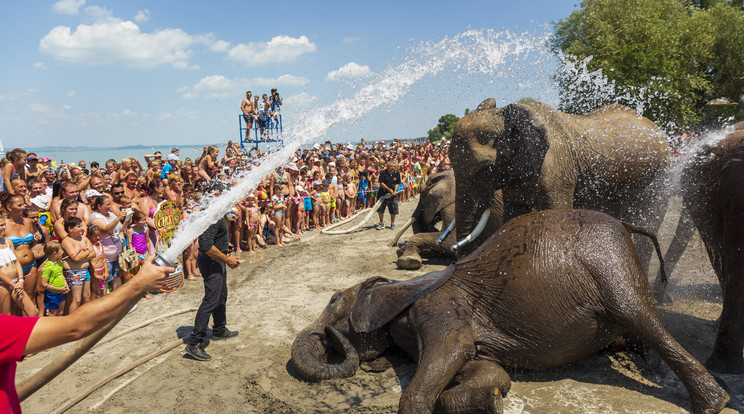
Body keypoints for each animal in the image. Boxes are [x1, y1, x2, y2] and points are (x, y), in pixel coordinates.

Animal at [290, 210, 728, 414]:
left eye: (334, 300)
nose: (329, 336)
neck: (402, 285)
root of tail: (624, 222)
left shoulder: (440, 307)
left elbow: (446, 357)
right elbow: (487, 371)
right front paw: (493, 399)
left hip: (609, 259)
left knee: (641, 316)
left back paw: (715, 402)